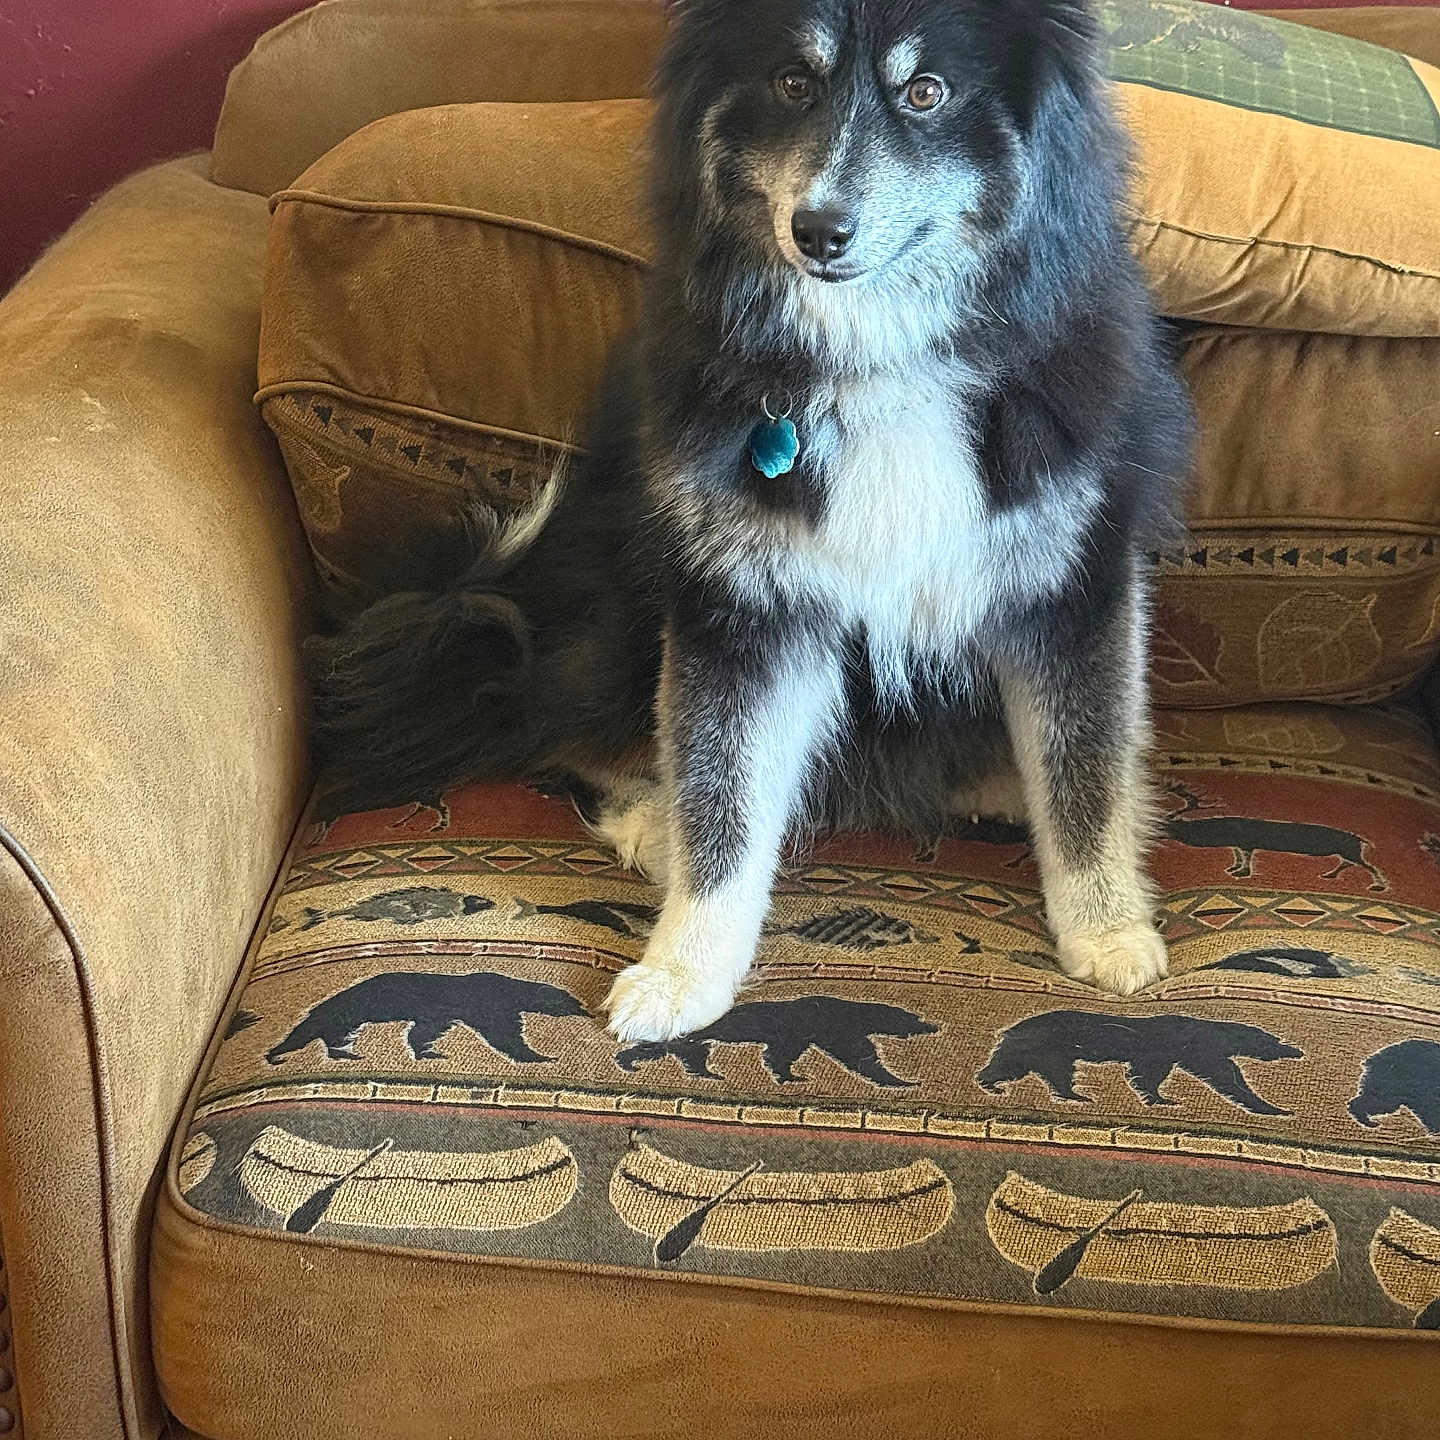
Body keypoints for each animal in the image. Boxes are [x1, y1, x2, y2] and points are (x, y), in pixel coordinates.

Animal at [265, 971, 588, 1065]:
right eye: (574, 1002)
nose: (586, 1009)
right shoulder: (487, 1005)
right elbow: (505, 1035)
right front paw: (540, 1056)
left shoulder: (440, 1013)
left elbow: (424, 1031)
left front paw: (428, 1051)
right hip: (345, 1010)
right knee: (312, 1031)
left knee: (332, 1035)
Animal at [976, 1010, 1302, 1115]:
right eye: (1275, 1040)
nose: (1297, 1050)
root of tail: (1012, 1027)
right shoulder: (1189, 1047)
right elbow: (1225, 1074)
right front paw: (1273, 1107)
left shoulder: (1168, 1053)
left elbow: (1147, 1072)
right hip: (1044, 1044)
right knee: (1014, 1065)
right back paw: (992, 1085)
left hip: (1049, 1051)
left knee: (1052, 1072)